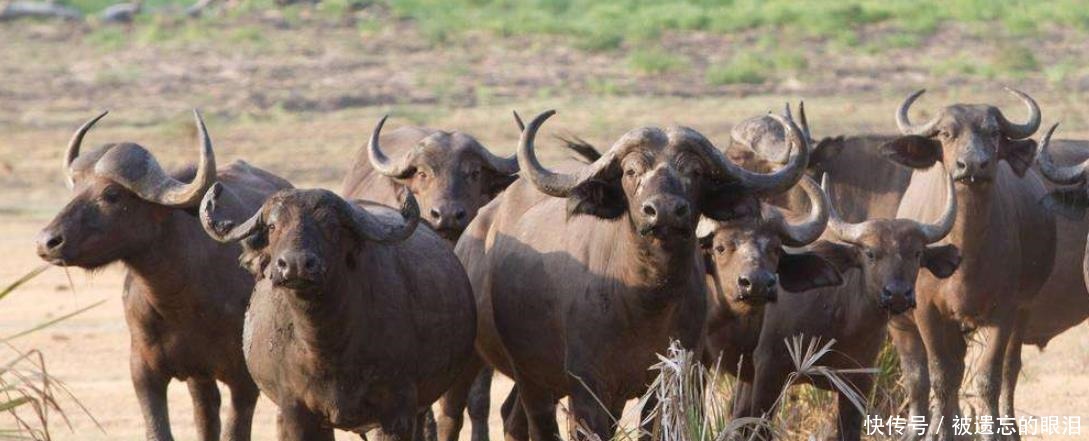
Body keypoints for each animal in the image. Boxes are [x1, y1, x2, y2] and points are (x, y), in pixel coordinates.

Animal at [34, 111, 291, 439]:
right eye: (76, 188)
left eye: (112, 194)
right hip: (199, 378)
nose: (47, 242)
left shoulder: (243, 382)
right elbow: (159, 430)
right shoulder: (144, 373)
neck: (181, 301)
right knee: (206, 413)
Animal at [200, 154, 476, 439]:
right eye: (274, 226)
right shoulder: (295, 412)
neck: (326, 347)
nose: (295, 264)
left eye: (331, 226)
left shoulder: (395, 413)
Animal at [457, 108, 810, 439]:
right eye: (631, 171)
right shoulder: (587, 387)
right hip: (532, 380)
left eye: (694, 171)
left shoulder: (670, 379)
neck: (643, 300)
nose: (664, 210)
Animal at [736, 173, 958, 439]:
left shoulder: (858, 383)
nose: (897, 294)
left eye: (916, 253)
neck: (841, 319)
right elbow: (759, 427)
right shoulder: (768, 368)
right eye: (870, 253)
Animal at [884, 89, 1054, 439]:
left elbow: (989, 378)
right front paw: (942, 431)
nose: (973, 164)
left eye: (994, 132)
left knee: (1009, 369)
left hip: (1024, 310)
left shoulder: (1005, 311)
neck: (967, 255)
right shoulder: (927, 312)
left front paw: (991, 432)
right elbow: (941, 377)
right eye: (946, 133)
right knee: (930, 376)